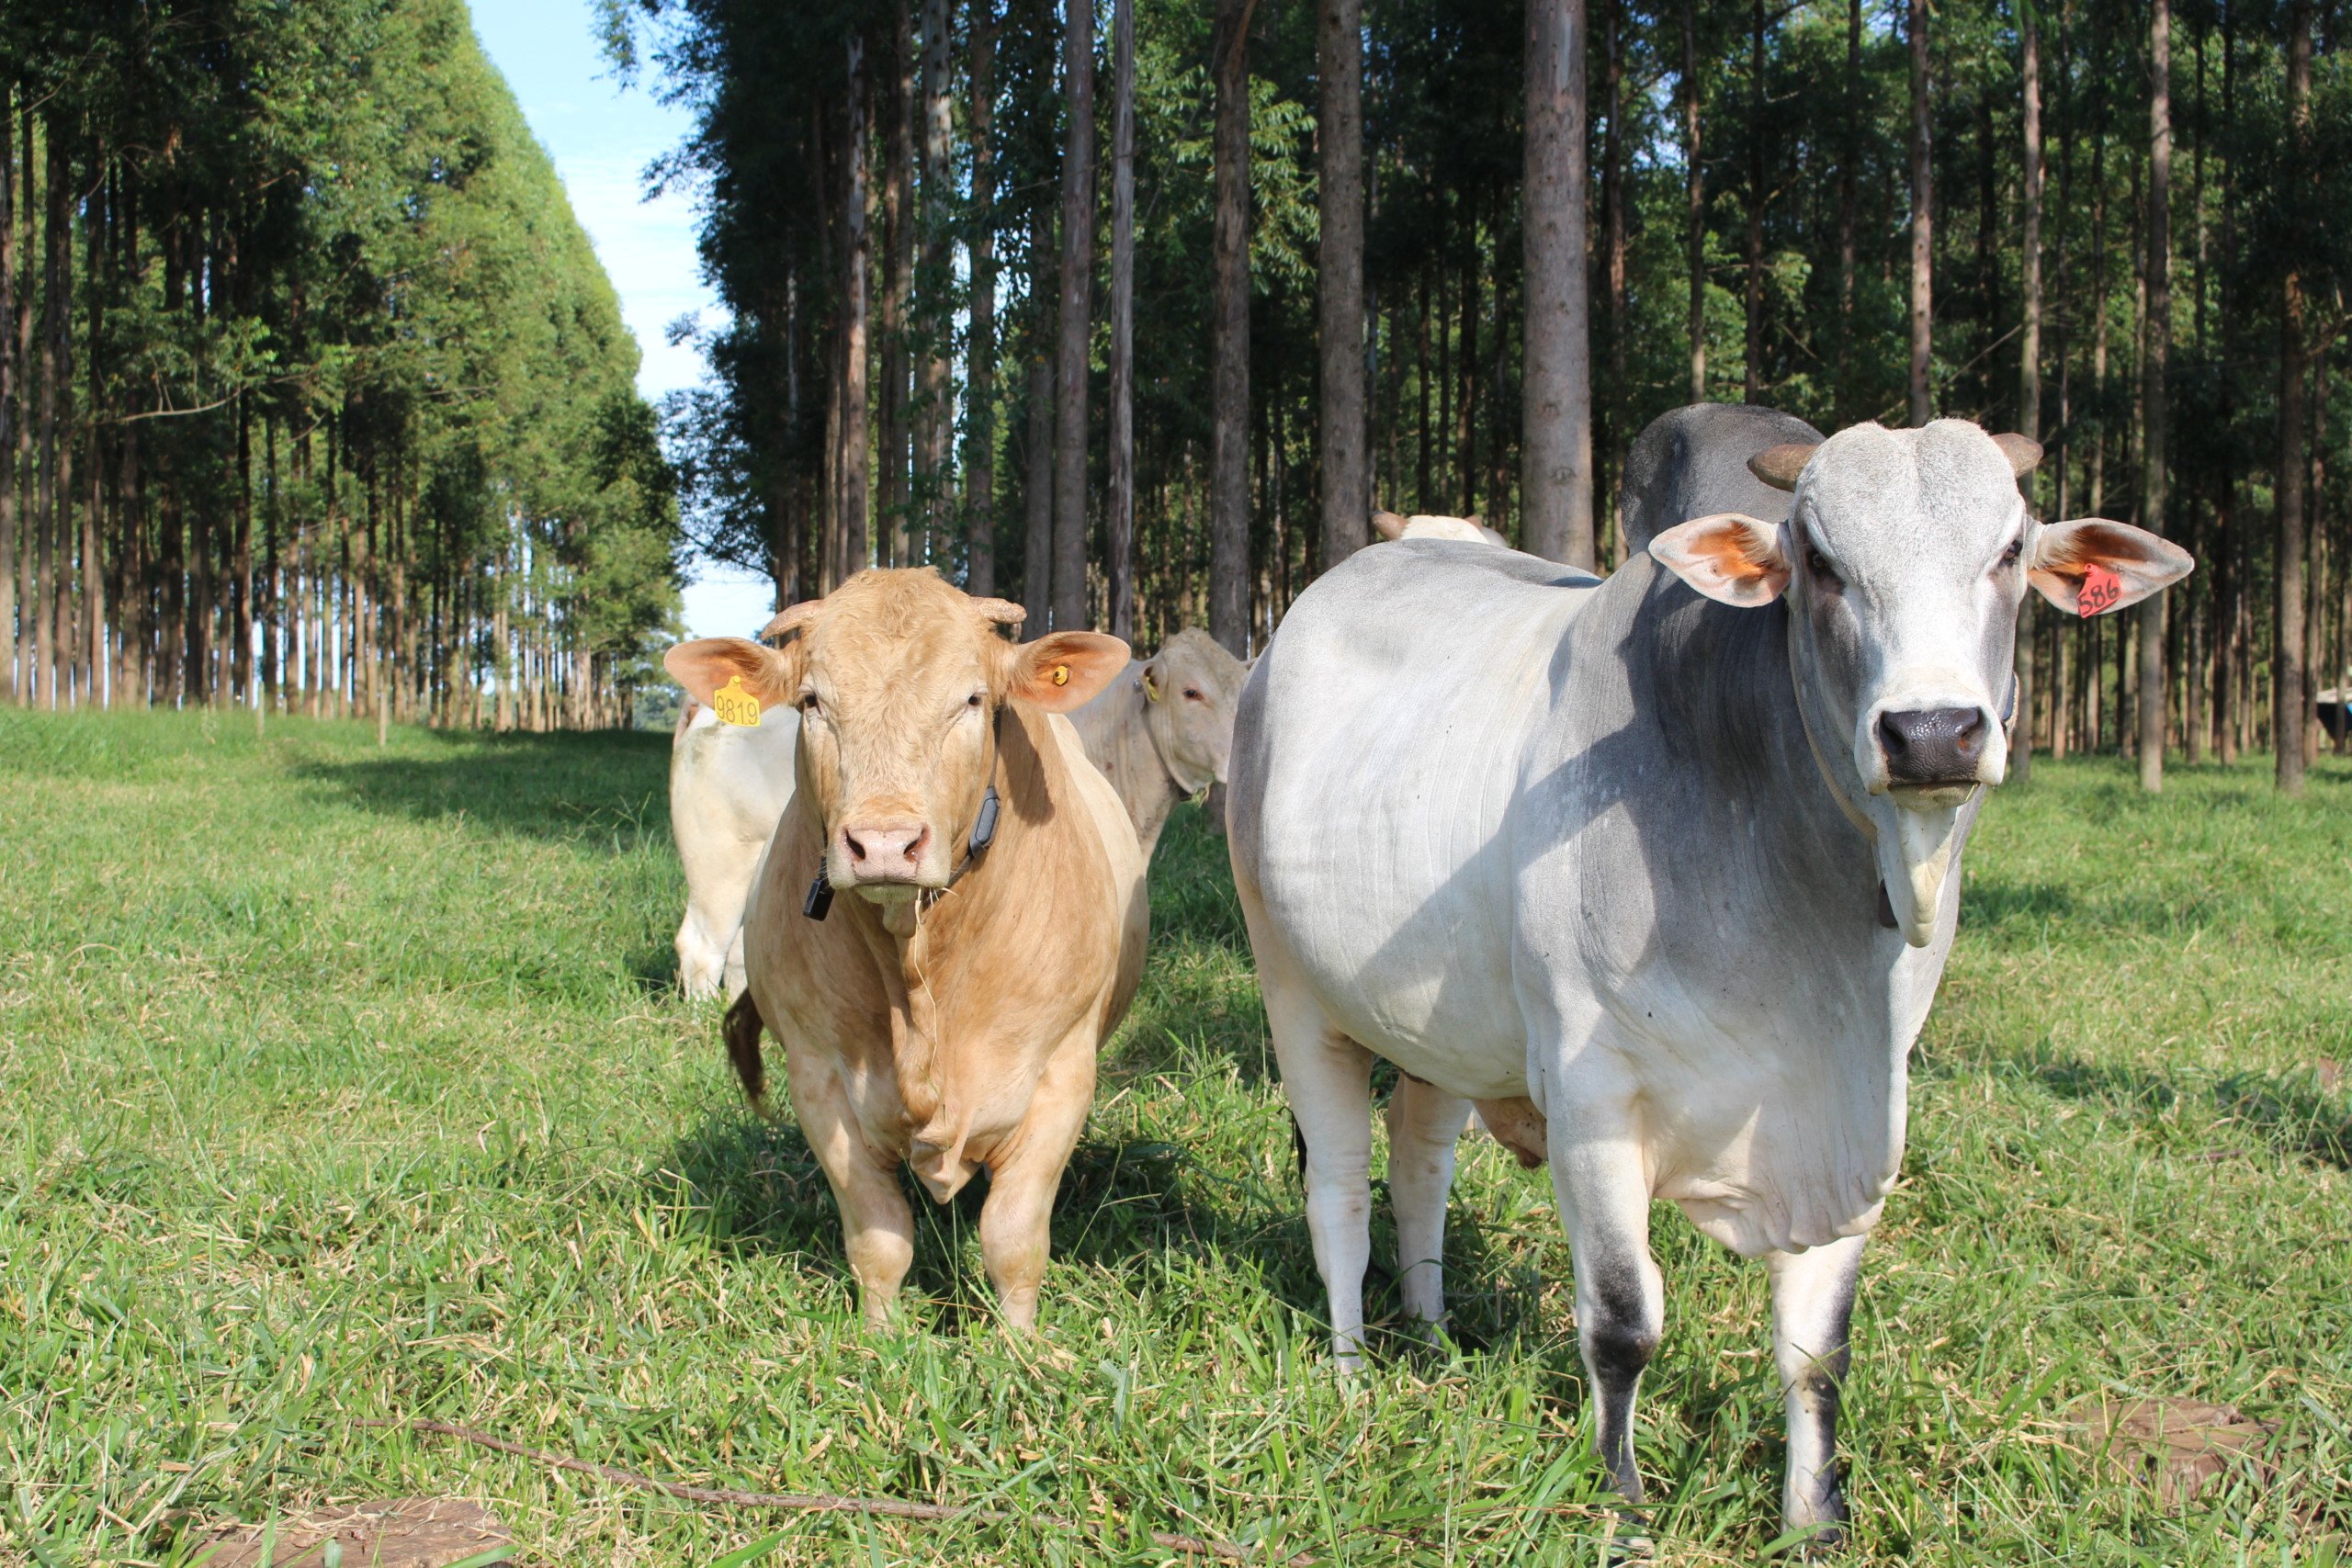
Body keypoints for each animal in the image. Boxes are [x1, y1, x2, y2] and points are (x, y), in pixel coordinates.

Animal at [1232, 409, 2182, 1541]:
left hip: (1435, 1033)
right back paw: (1350, 1371)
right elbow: (1622, 1322)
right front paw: (1621, 1504)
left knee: (1420, 1166)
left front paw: (1814, 1519)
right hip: (1293, 990)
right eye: (1819, 560)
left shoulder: (1859, 1110)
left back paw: (1429, 1337)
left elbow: (1817, 1350)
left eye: (2007, 551)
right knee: (1338, 1191)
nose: (1931, 733)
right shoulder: (1593, 1100)